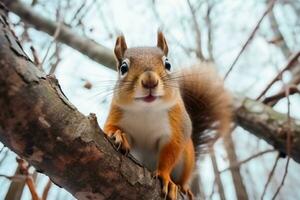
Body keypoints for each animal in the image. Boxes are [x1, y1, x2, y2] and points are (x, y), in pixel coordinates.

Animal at [103, 32, 232, 199]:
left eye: (168, 64)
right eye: (123, 68)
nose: (150, 80)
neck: (146, 110)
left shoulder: (176, 128)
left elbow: (170, 153)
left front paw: (166, 178)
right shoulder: (116, 113)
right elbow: (109, 127)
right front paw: (118, 134)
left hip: (187, 158)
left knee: (183, 178)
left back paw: (183, 187)